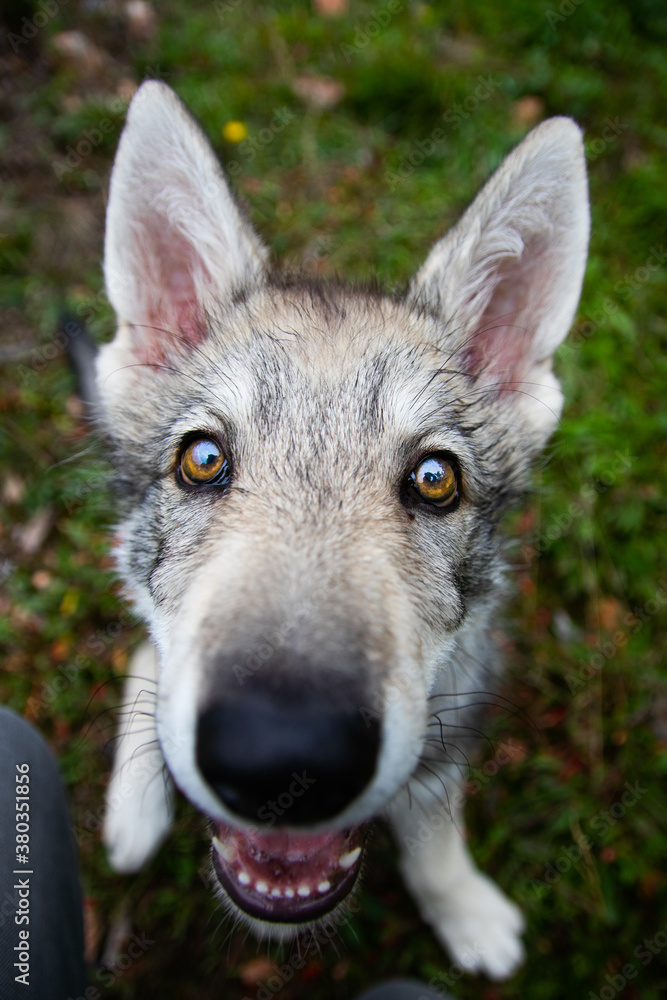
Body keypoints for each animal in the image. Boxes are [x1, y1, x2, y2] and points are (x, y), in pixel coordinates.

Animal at [99, 81, 589, 980]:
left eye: (434, 479)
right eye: (202, 460)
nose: (281, 761)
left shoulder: (446, 731)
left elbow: (435, 842)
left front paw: (463, 909)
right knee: (145, 653)